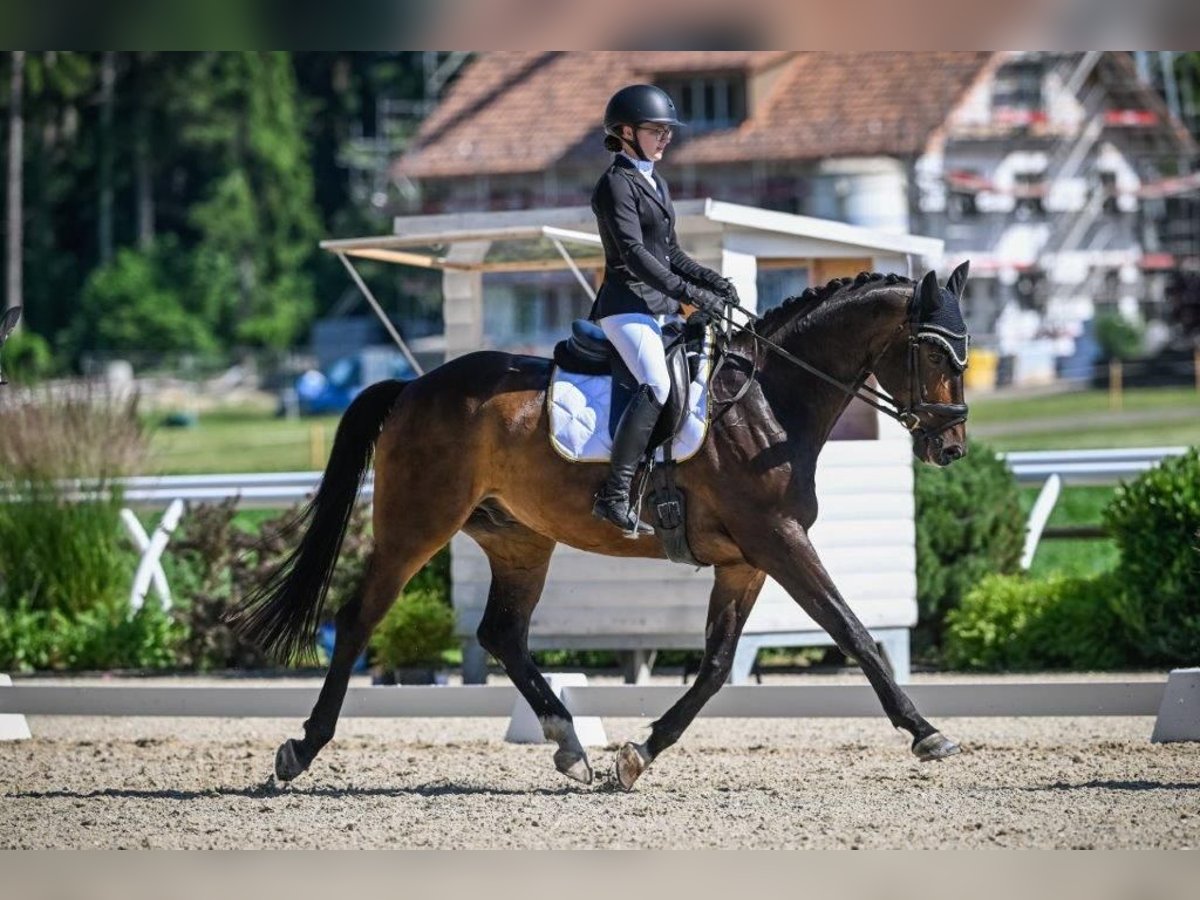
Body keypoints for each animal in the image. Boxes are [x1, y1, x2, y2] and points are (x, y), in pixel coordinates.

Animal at [231, 264, 974, 792]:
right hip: (415, 527)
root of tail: (413, 387)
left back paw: (570, 746)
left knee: (502, 634)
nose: (953, 448)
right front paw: (927, 733)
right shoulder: (779, 541)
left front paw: (636, 756)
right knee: (359, 618)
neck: (768, 401)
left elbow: (716, 666)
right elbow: (855, 634)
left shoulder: (747, 560)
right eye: (937, 356)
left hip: (520, 539)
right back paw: (300, 749)